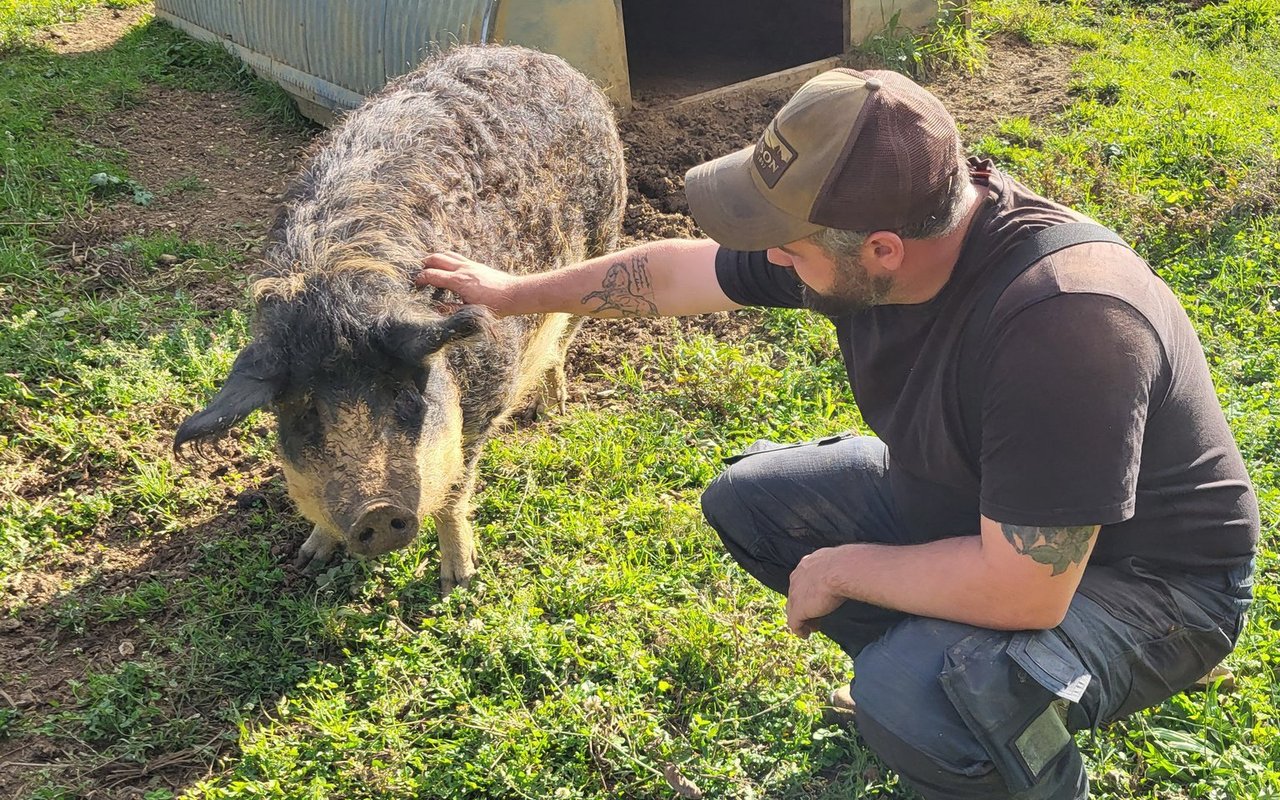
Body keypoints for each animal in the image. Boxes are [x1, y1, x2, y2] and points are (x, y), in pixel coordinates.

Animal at [174, 45, 624, 593]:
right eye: (304, 412)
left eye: (404, 396)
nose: (377, 511)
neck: (335, 286)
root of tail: (539, 55)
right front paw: (308, 559)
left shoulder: (486, 399)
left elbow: (455, 489)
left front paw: (459, 583)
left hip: (604, 238)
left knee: (560, 346)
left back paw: (549, 411)